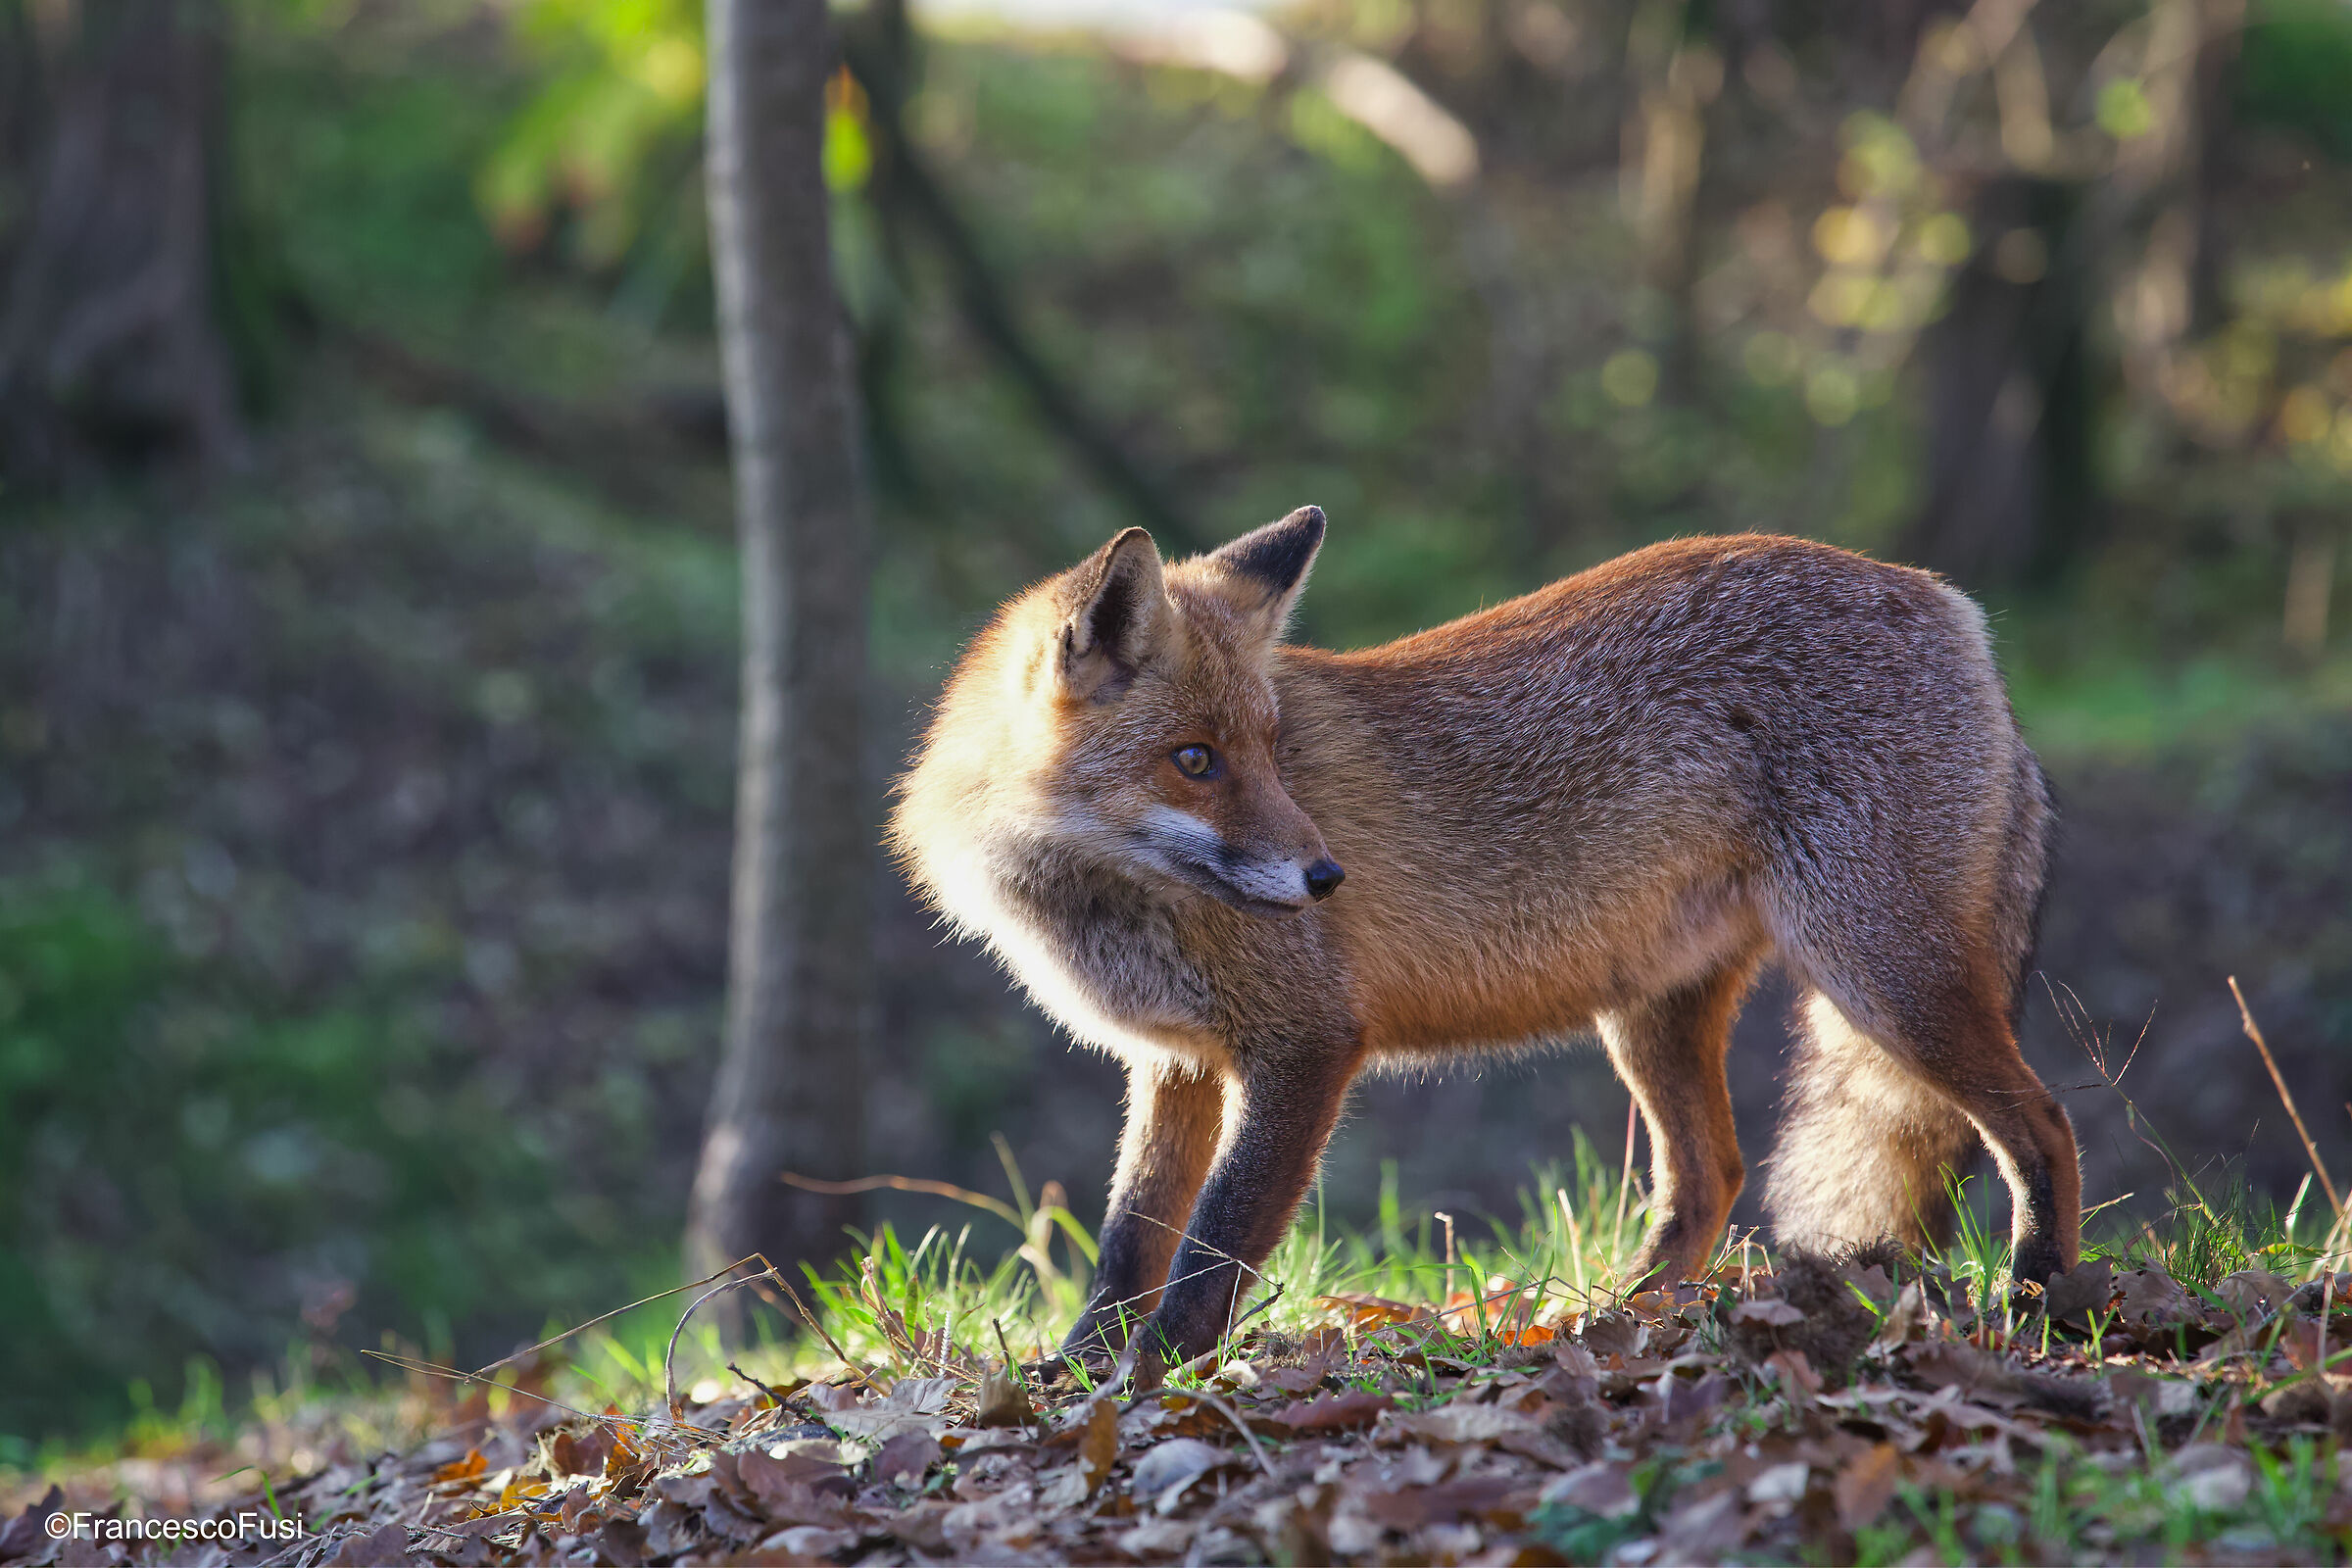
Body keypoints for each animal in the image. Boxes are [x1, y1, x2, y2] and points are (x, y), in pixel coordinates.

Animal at [887, 507, 2079, 1375]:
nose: (1326, 879)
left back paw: (2042, 1305)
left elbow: (1211, 1250)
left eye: (1270, 749)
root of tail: (1952, 606)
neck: (1109, 901)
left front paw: (1147, 1380)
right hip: (1652, 1017)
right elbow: (1129, 1241)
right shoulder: (1175, 1062)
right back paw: (1617, 1324)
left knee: (2043, 1123)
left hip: (1881, 976)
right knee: (1711, 1176)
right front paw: (1074, 1374)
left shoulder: (1306, 1045)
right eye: (1194, 759)